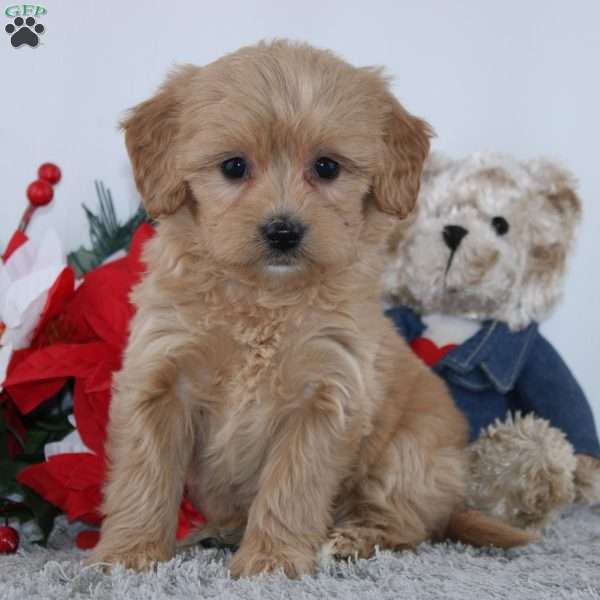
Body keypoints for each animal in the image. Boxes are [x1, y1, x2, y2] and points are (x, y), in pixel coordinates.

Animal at [90, 38, 536, 576]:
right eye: (233, 166)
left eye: (326, 167)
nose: (283, 231)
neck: (265, 300)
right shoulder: (161, 377)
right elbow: (145, 475)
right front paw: (128, 554)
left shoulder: (325, 395)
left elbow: (291, 487)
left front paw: (272, 560)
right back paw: (221, 529)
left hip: (409, 458)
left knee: (408, 524)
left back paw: (352, 539)